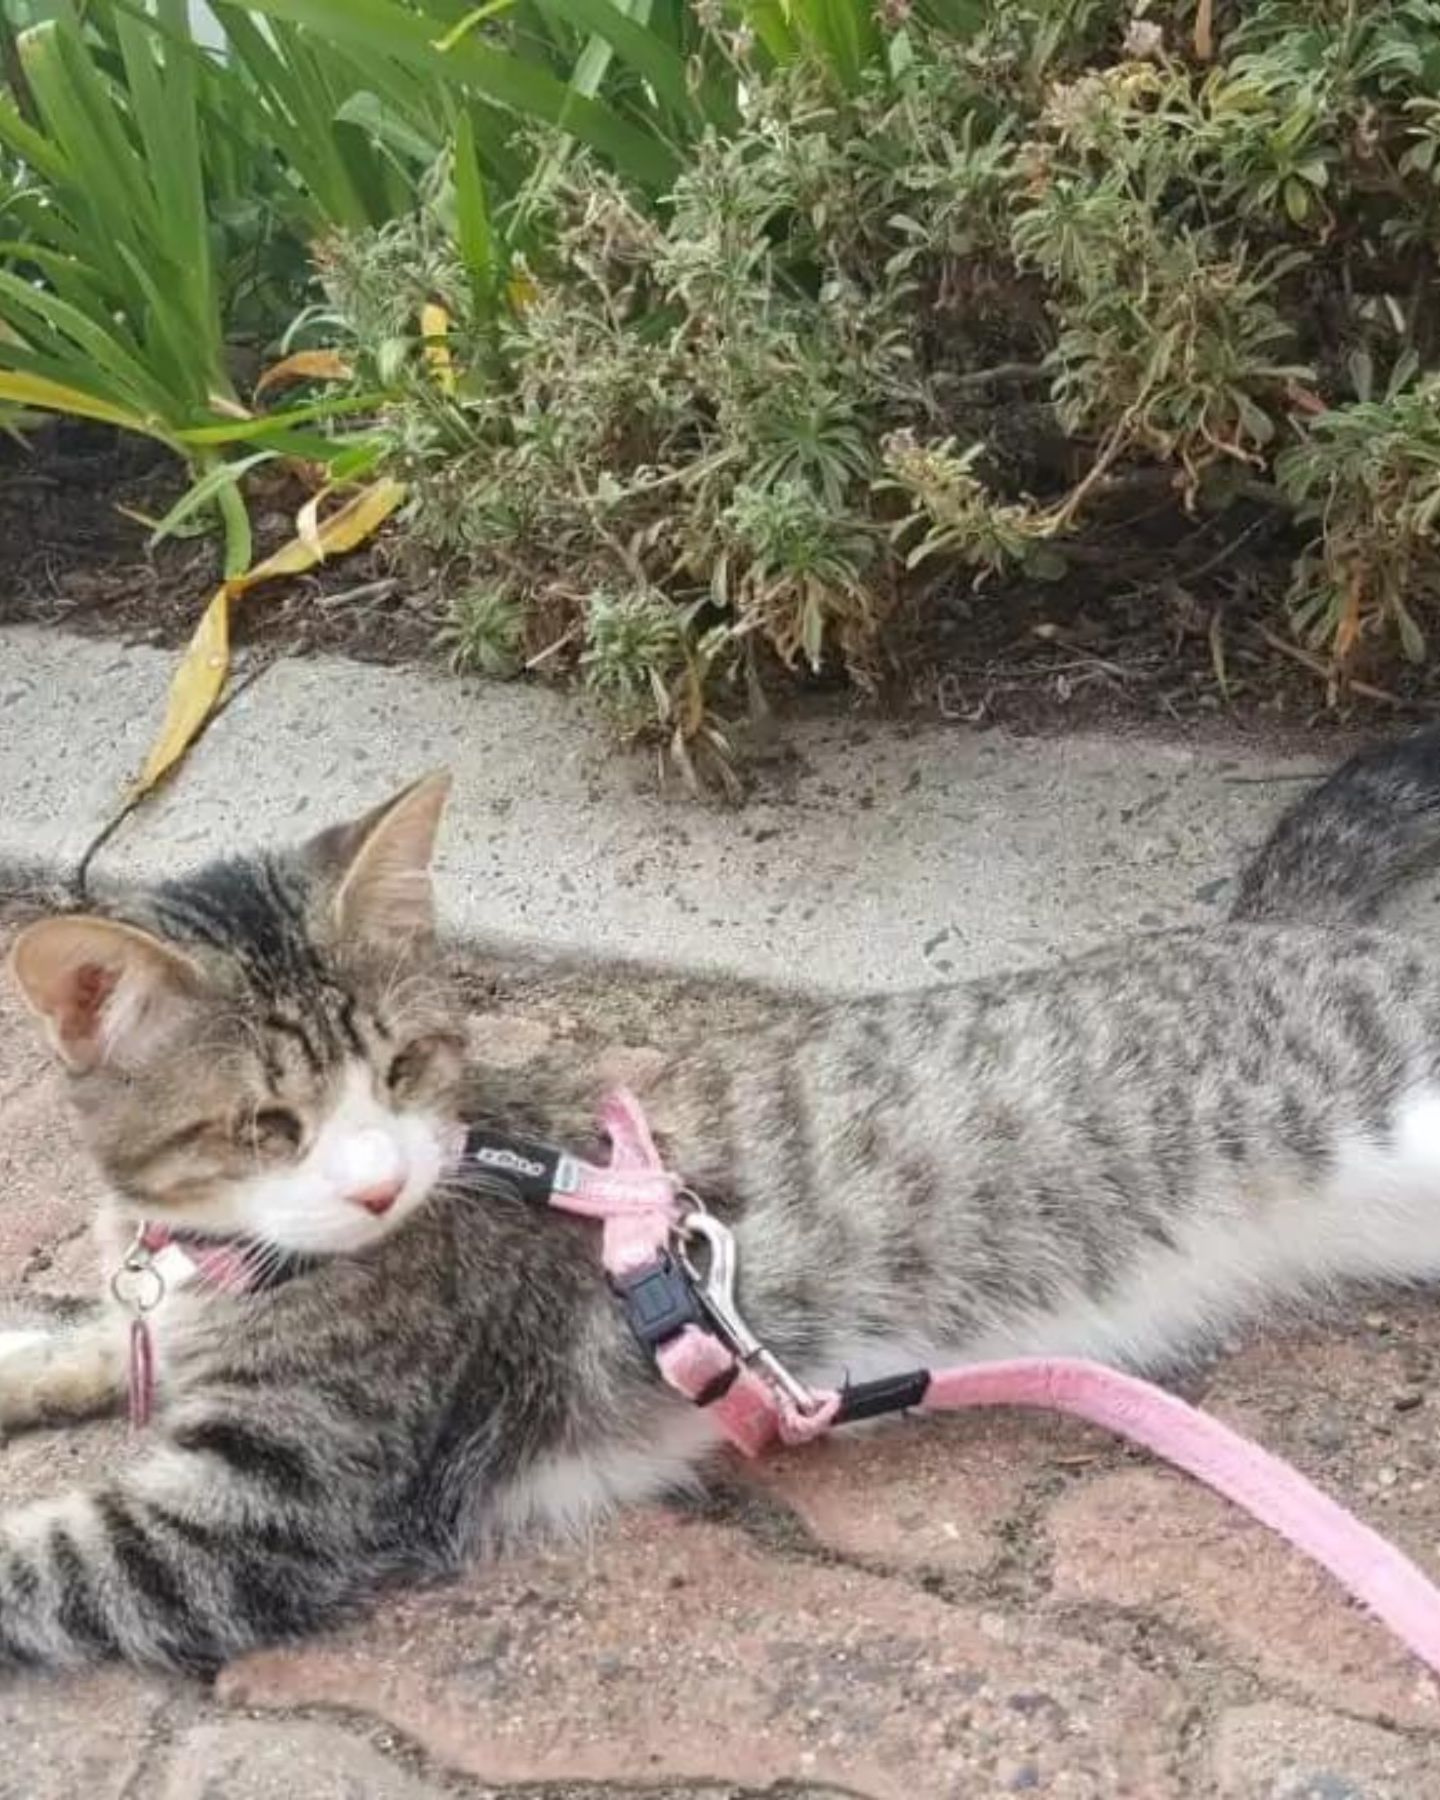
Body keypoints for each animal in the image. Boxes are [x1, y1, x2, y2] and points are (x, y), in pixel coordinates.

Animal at [2, 723, 1440, 1677]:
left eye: (402, 1068)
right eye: (268, 1125)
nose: (378, 1183)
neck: (224, 1261)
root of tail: (1276, 931)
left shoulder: (271, 1507)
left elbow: (40, 1564)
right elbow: (95, 1336)